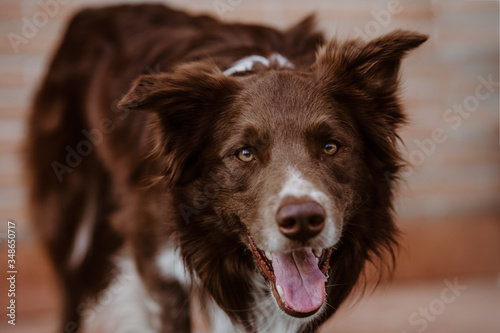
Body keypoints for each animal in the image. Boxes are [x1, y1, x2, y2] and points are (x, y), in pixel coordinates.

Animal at [26, 3, 426, 332]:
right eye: (244, 154)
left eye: (331, 147)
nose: (302, 221)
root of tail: (89, 11)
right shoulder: (159, 266)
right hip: (69, 217)